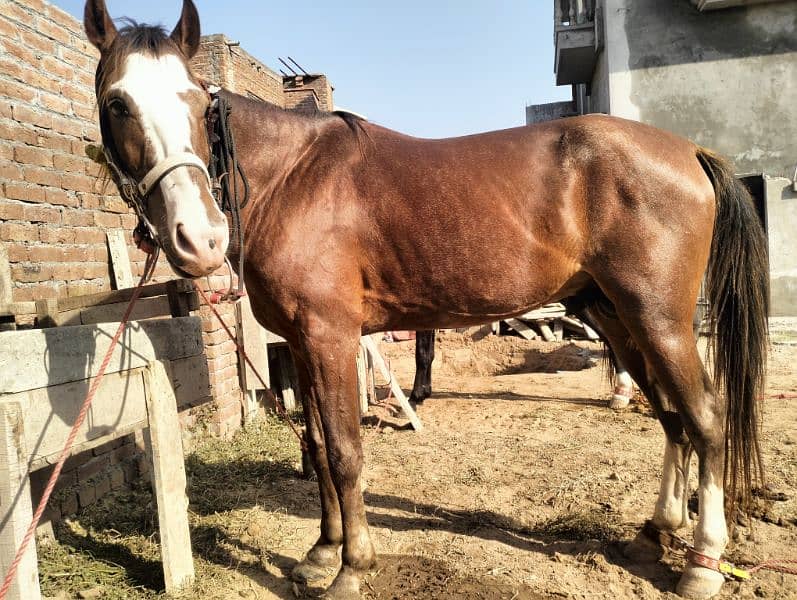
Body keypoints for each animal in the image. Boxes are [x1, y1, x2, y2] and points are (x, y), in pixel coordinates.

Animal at [84, 2, 768, 596]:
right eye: (117, 103)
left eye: (199, 100)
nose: (198, 239)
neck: (292, 178)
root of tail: (690, 152)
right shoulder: (302, 344)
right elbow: (316, 445)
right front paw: (321, 553)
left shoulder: (331, 336)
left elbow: (345, 451)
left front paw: (352, 569)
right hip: (616, 316)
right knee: (672, 417)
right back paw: (655, 533)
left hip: (660, 319)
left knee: (706, 417)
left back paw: (702, 563)